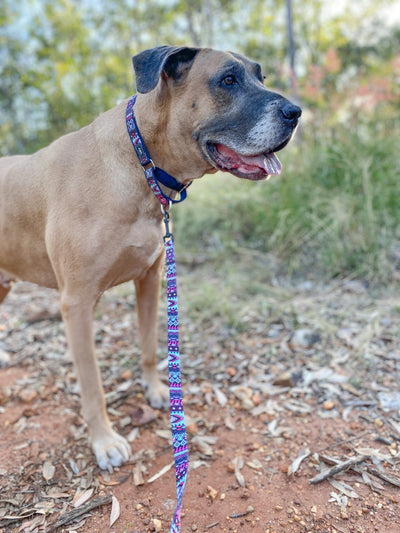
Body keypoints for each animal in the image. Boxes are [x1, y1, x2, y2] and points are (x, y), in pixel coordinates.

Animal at [0, 46, 300, 470]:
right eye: (228, 80)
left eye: (260, 76)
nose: (296, 112)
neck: (140, 160)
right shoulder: (77, 304)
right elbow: (92, 385)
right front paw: (104, 441)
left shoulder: (150, 281)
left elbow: (148, 346)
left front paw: (157, 390)